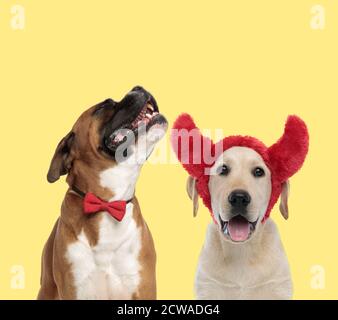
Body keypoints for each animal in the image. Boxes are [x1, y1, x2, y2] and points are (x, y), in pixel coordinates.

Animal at [172, 113, 308, 300]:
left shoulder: (277, 287)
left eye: (258, 171)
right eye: (223, 169)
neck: (241, 251)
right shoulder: (209, 288)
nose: (239, 198)